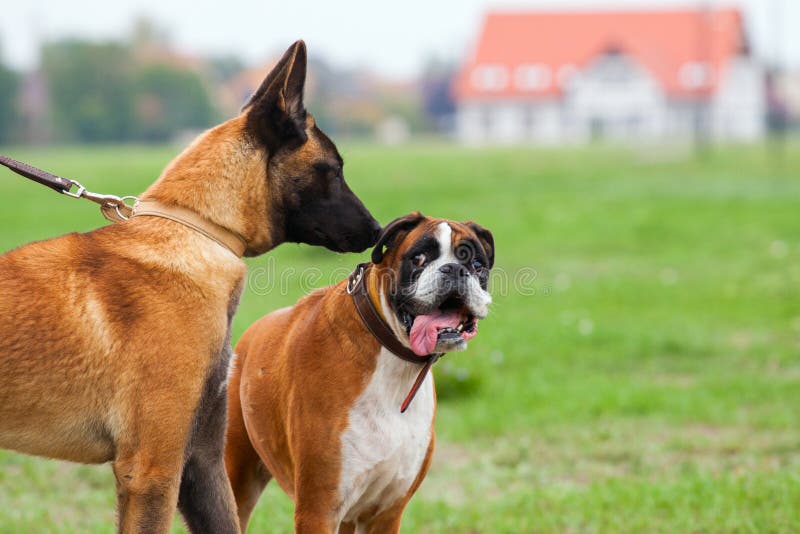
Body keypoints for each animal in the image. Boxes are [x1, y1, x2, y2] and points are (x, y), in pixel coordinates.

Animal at [223, 211, 494, 532]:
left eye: (476, 265)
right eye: (419, 258)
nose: (454, 269)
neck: (395, 361)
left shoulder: (386, 512)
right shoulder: (319, 510)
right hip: (235, 484)